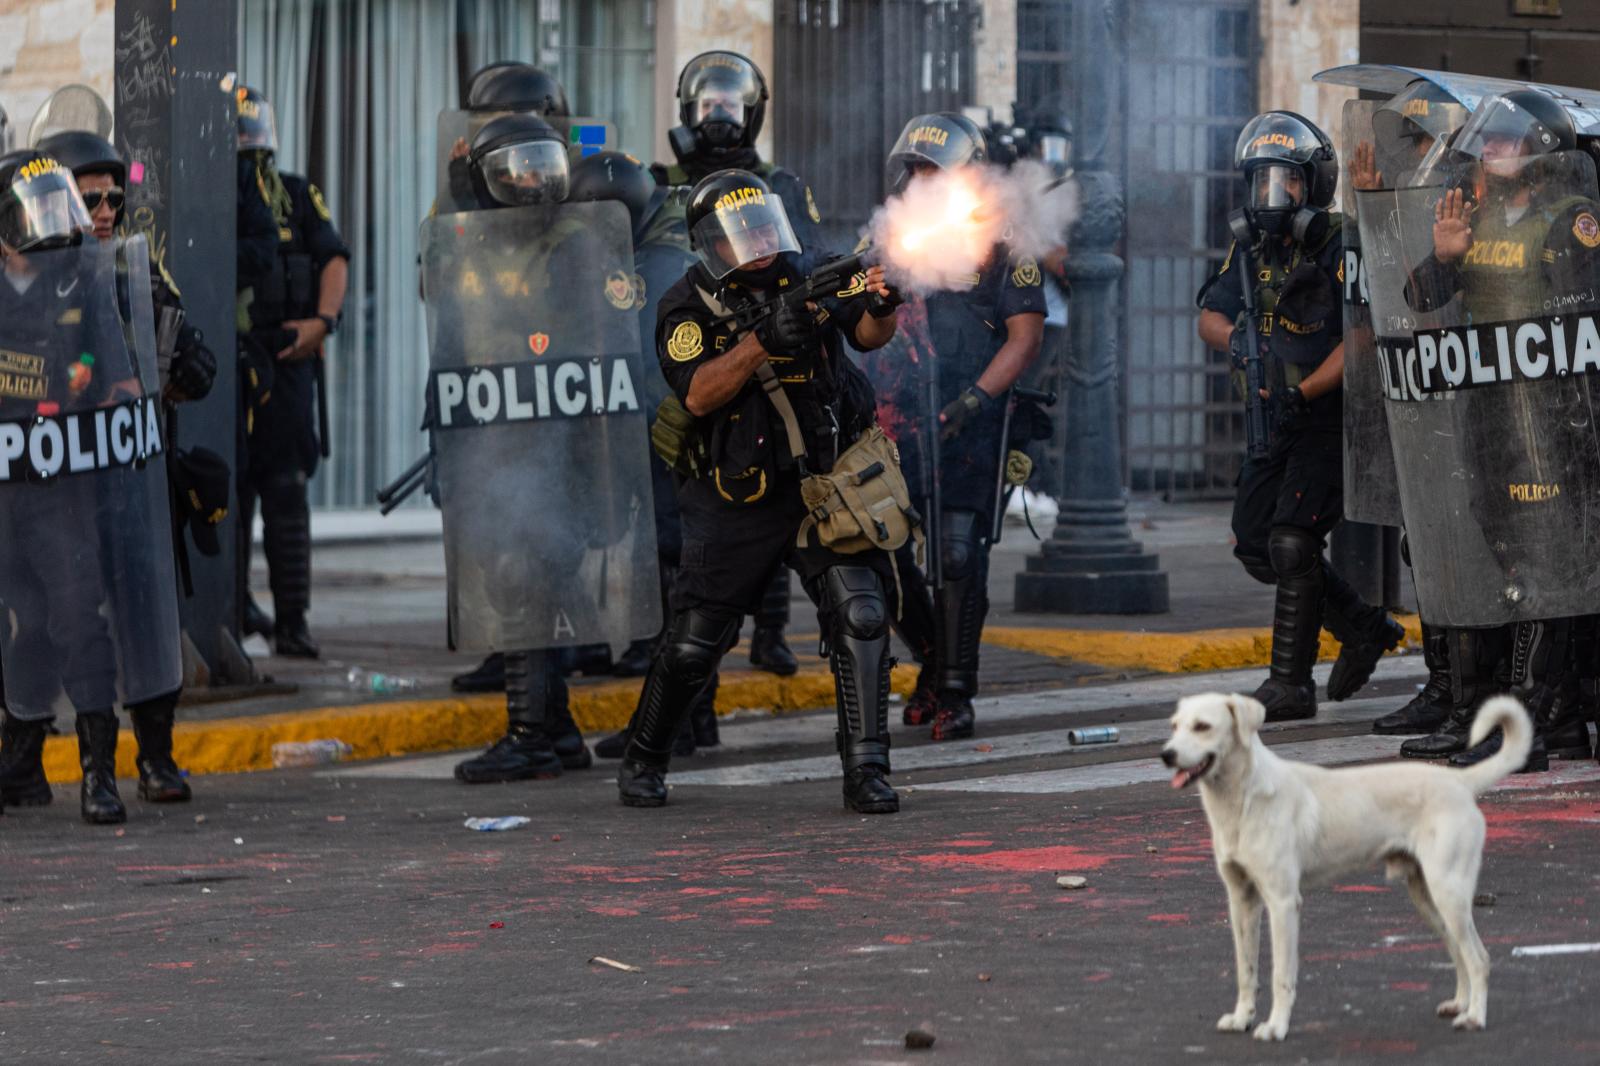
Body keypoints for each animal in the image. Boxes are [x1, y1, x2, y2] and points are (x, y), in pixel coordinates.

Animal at [1164, 688, 1523, 1037]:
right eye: (1174, 726)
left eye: (1203, 726)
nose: (1166, 755)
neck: (1243, 798)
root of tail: (1459, 781)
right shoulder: (1241, 901)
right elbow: (1245, 970)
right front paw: (1242, 1019)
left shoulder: (1282, 902)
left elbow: (1281, 973)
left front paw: (1276, 1026)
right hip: (1427, 898)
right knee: (1458, 952)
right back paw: (1460, 1004)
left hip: (1448, 891)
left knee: (1479, 958)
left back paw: (1474, 1017)